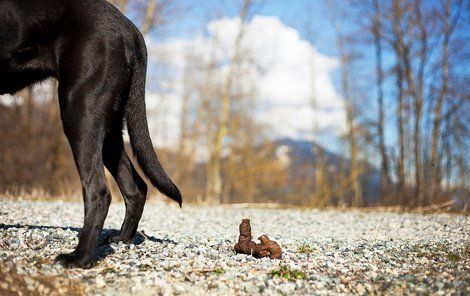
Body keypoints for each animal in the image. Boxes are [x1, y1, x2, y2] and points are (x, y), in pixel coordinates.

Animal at [0, 0, 183, 268]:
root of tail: (130, 29)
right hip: (109, 128)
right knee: (135, 187)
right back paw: (122, 239)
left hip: (79, 109)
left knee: (99, 192)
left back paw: (79, 257)